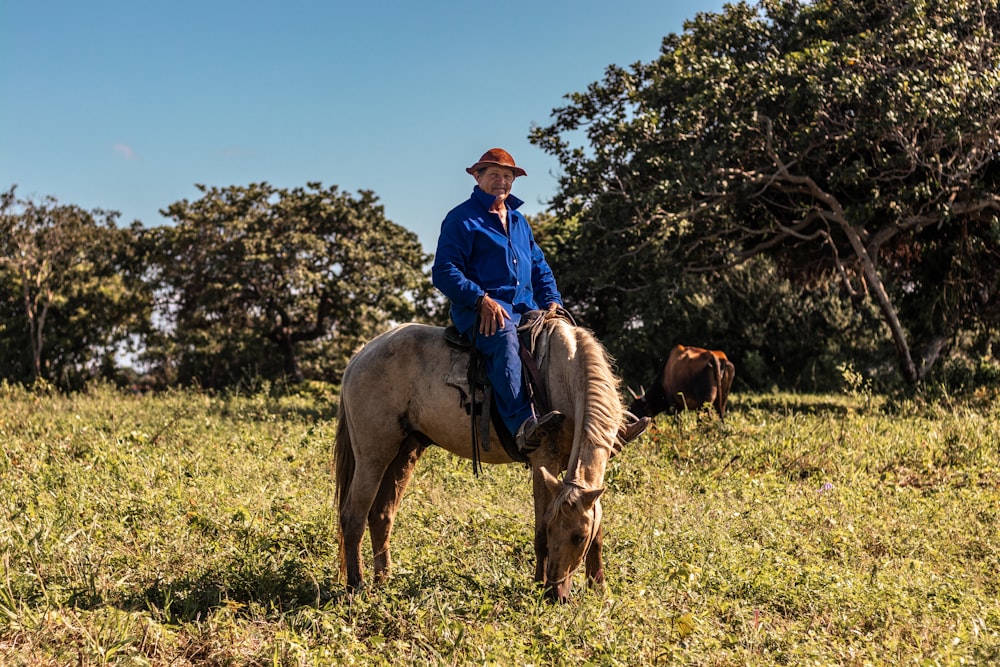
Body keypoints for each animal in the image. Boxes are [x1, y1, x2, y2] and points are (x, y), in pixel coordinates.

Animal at [336, 314, 628, 604]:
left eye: (579, 537)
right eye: (555, 530)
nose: (557, 594)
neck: (564, 376)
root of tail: (361, 355)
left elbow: (597, 527)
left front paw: (599, 587)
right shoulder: (544, 461)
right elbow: (539, 532)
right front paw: (538, 587)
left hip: (404, 452)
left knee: (381, 514)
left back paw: (383, 581)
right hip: (372, 456)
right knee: (353, 516)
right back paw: (355, 587)